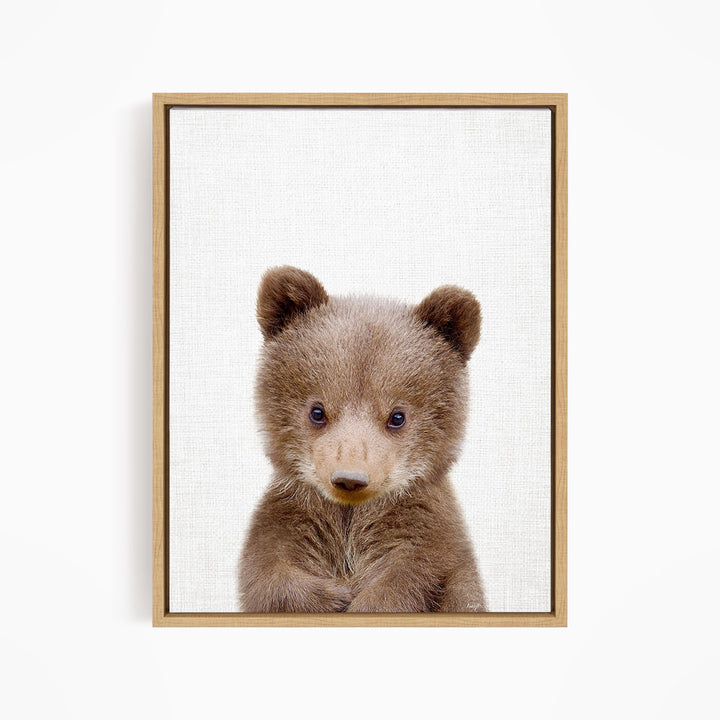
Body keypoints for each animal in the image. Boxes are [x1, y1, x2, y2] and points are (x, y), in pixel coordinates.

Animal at [239, 266, 486, 613]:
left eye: (397, 416)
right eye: (317, 411)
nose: (350, 478)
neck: (349, 518)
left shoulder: (426, 536)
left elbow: (412, 577)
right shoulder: (290, 519)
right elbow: (268, 573)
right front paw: (334, 597)